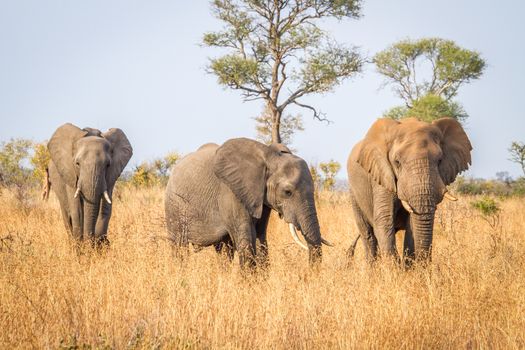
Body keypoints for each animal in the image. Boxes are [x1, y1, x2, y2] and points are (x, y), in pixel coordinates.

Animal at [165, 138, 332, 270]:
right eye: (287, 192)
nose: (309, 274)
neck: (269, 156)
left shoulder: (261, 197)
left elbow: (260, 238)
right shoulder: (231, 192)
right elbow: (246, 241)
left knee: (224, 250)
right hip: (174, 205)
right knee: (179, 246)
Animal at [346, 117, 472, 262]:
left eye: (440, 160)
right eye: (397, 162)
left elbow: (412, 227)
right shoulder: (382, 175)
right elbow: (384, 220)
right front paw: (394, 266)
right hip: (354, 193)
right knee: (368, 235)